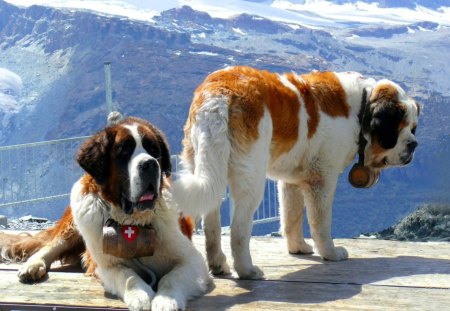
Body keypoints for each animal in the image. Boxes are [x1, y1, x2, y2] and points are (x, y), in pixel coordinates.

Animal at [0, 115, 211, 311]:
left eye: (154, 150)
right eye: (124, 151)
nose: (150, 164)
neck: (132, 220)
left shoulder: (192, 260)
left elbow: (172, 277)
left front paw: (166, 301)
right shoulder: (105, 266)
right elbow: (127, 275)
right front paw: (140, 296)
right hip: (74, 221)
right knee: (52, 244)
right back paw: (33, 265)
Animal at [171, 66, 420, 280]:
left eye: (413, 127)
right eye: (400, 126)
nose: (414, 144)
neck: (361, 108)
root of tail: (218, 95)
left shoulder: (291, 181)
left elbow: (292, 217)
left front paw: (297, 248)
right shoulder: (322, 178)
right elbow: (321, 222)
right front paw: (331, 253)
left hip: (205, 162)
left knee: (211, 223)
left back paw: (218, 265)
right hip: (251, 178)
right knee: (238, 230)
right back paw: (248, 271)